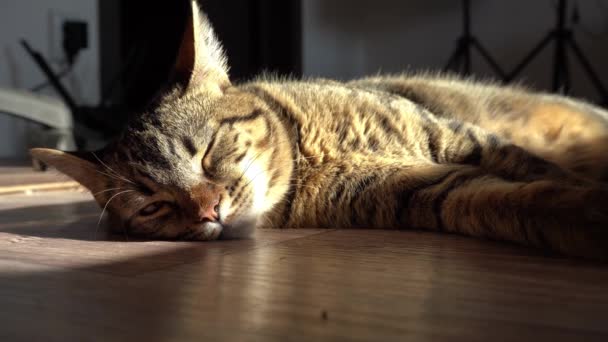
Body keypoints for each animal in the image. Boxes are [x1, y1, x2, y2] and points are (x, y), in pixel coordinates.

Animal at [30, 0, 608, 260]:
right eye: (153, 205)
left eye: (207, 152)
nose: (209, 211)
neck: (312, 153)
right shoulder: (422, 188)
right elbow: (516, 200)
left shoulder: (460, 139)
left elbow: (536, 168)